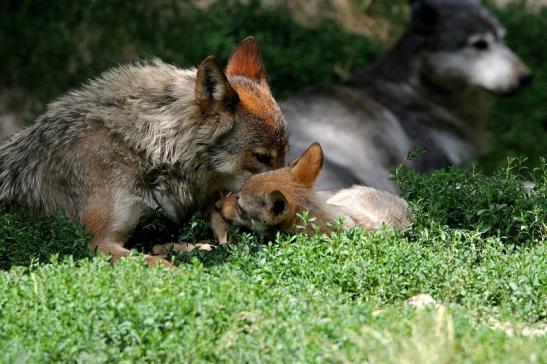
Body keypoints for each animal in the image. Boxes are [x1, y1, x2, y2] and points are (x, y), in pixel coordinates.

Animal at [0, 37, 288, 268]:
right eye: (261, 157)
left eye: (285, 154)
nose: (285, 207)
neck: (147, 150)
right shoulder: (98, 243)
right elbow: (165, 265)